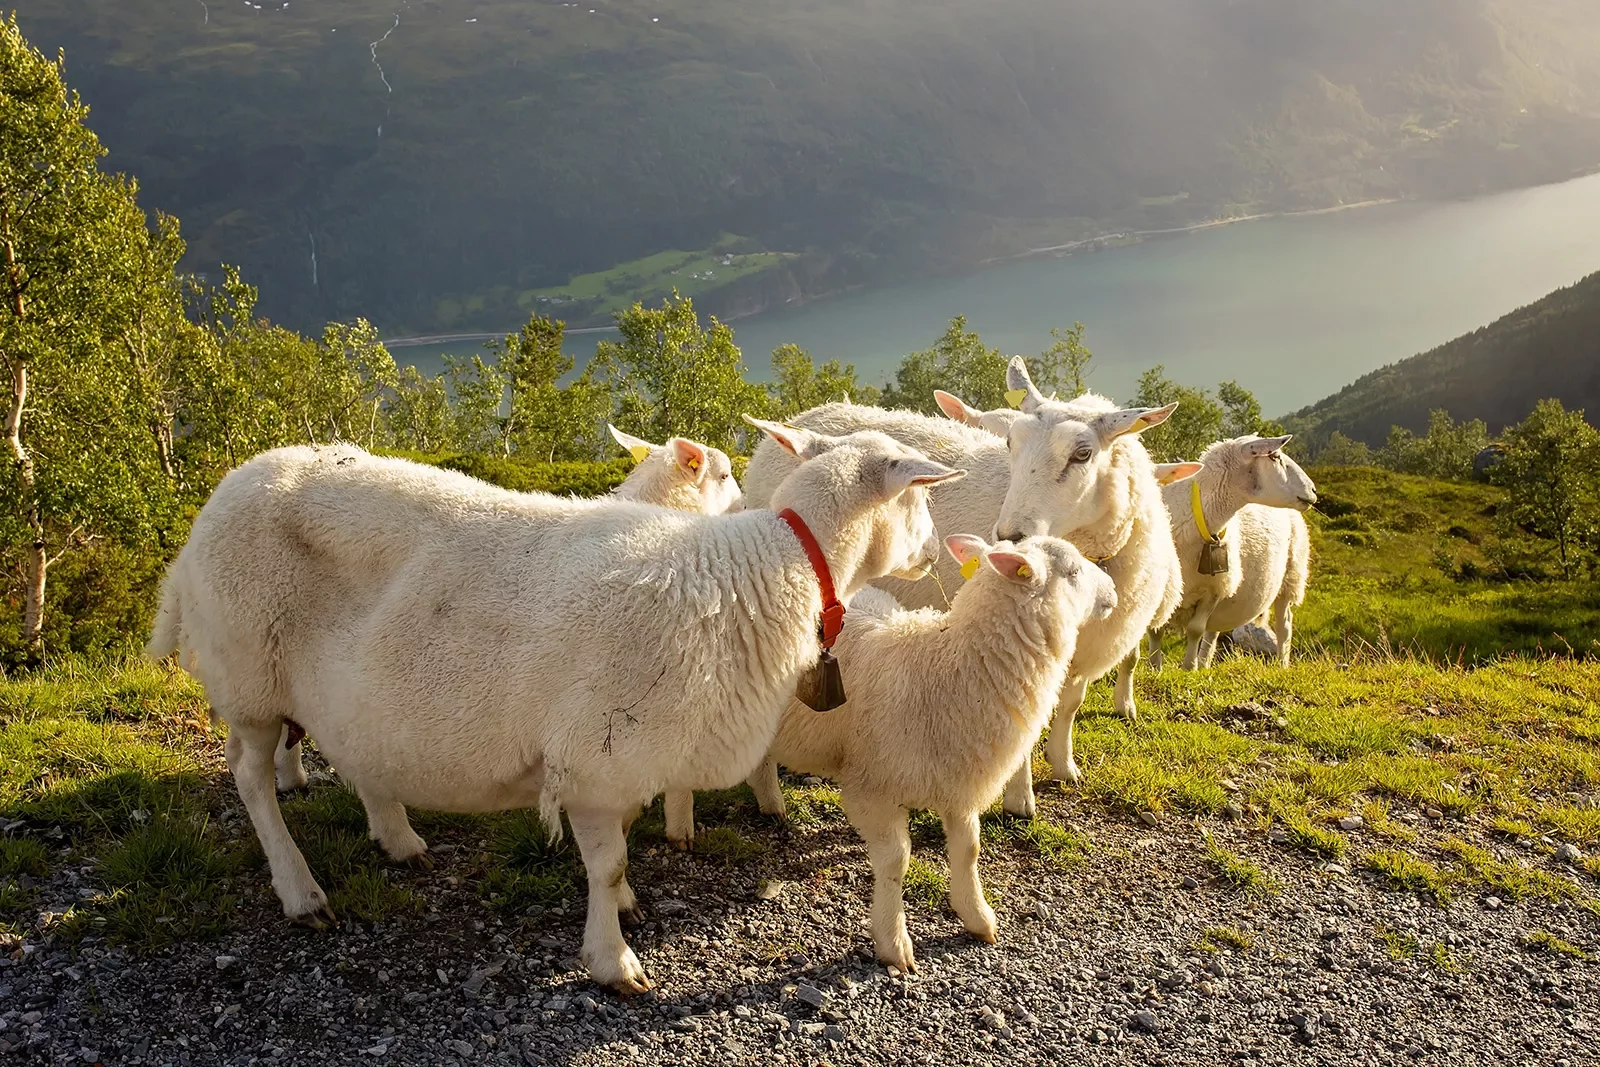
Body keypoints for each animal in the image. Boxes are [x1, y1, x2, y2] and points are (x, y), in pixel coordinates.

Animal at [739, 531, 1107, 966]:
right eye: (1074, 571)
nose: (1113, 592)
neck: (947, 667)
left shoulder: (960, 781)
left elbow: (969, 850)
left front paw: (977, 916)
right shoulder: (872, 788)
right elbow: (895, 862)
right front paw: (893, 942)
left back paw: (770, 802)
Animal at [1158, 435, 1318, 668]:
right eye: (1275, 457)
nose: (1314, 491)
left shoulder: (1213, 590)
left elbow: (1195, 630)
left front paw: (1188, 668)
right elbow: (1157, 630)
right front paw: (1156, 666)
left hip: (1290, 577)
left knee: (1284, 626)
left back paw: (1282, 664)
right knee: (1213, 632)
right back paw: (1204, 664)